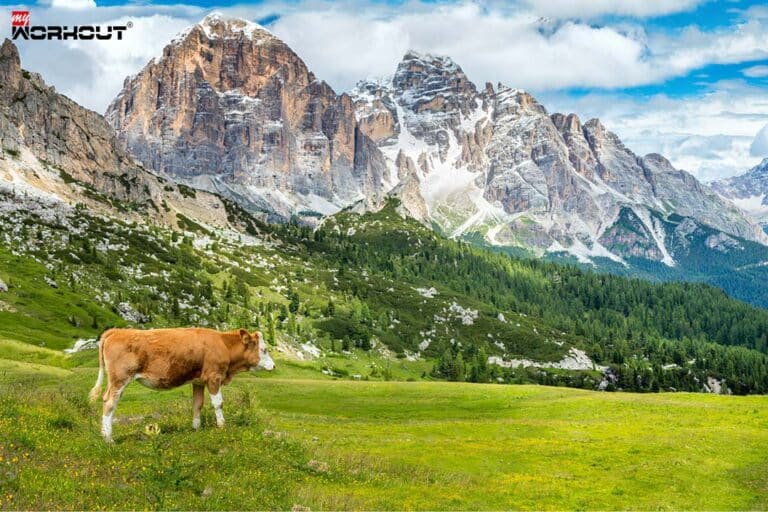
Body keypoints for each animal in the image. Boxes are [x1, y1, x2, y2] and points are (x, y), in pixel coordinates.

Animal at [88, 327, 275, 442]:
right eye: (264, 350)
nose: (274, 366)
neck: (223, 345)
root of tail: (116, 331)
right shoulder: (214, 377)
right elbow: (218, 403)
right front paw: (222, 426)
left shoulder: (199, 381)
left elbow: (197, 404)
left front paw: (196, 428)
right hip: (119, 378)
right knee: (109, 402)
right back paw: (109, 438)